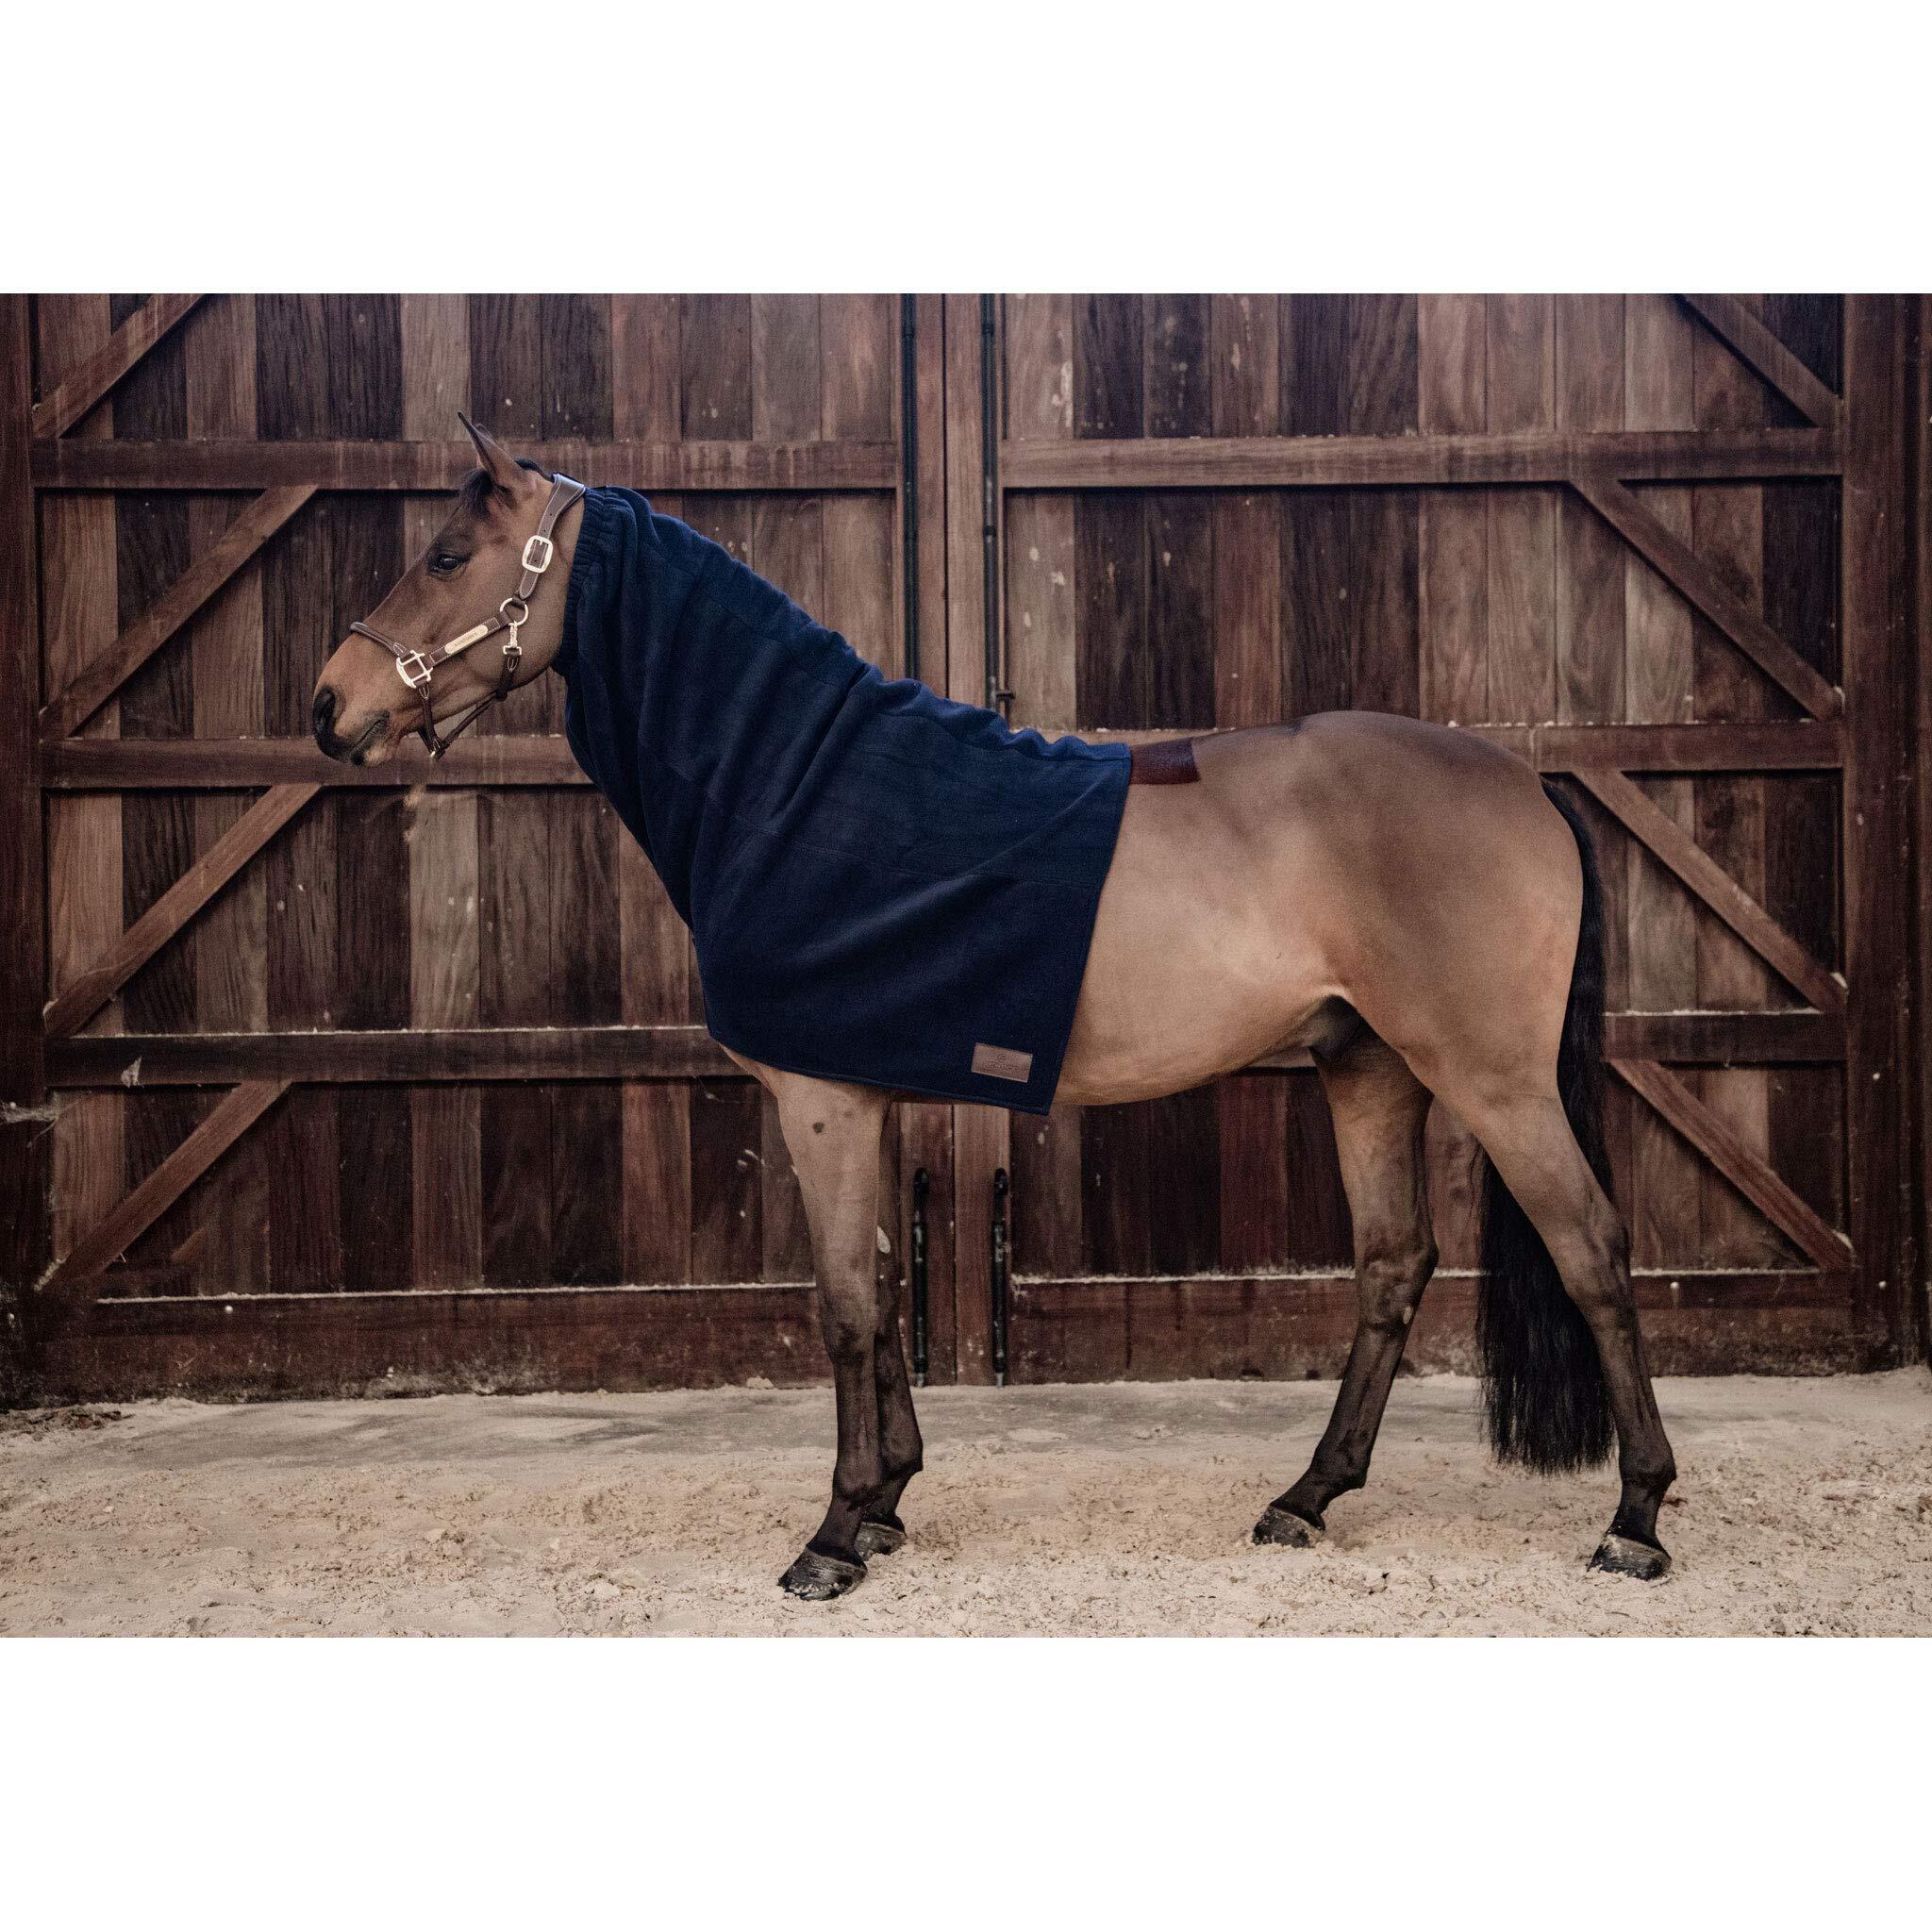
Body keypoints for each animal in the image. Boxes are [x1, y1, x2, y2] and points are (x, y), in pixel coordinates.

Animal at [312, 415, 1678, 1602]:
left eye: (446, 556)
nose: (330, 706)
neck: (799, 782)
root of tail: (1526, 778)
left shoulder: (820, 1101)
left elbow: (843, 1309)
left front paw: (832, 1535)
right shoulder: (864, 1094)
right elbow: (881, 1292)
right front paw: (887, 1503)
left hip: (1492, 1079)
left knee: (1591, 1251)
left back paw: (1635, 1517)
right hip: (1369, 1066)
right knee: (1393, 1264)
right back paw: (1306, 1496)